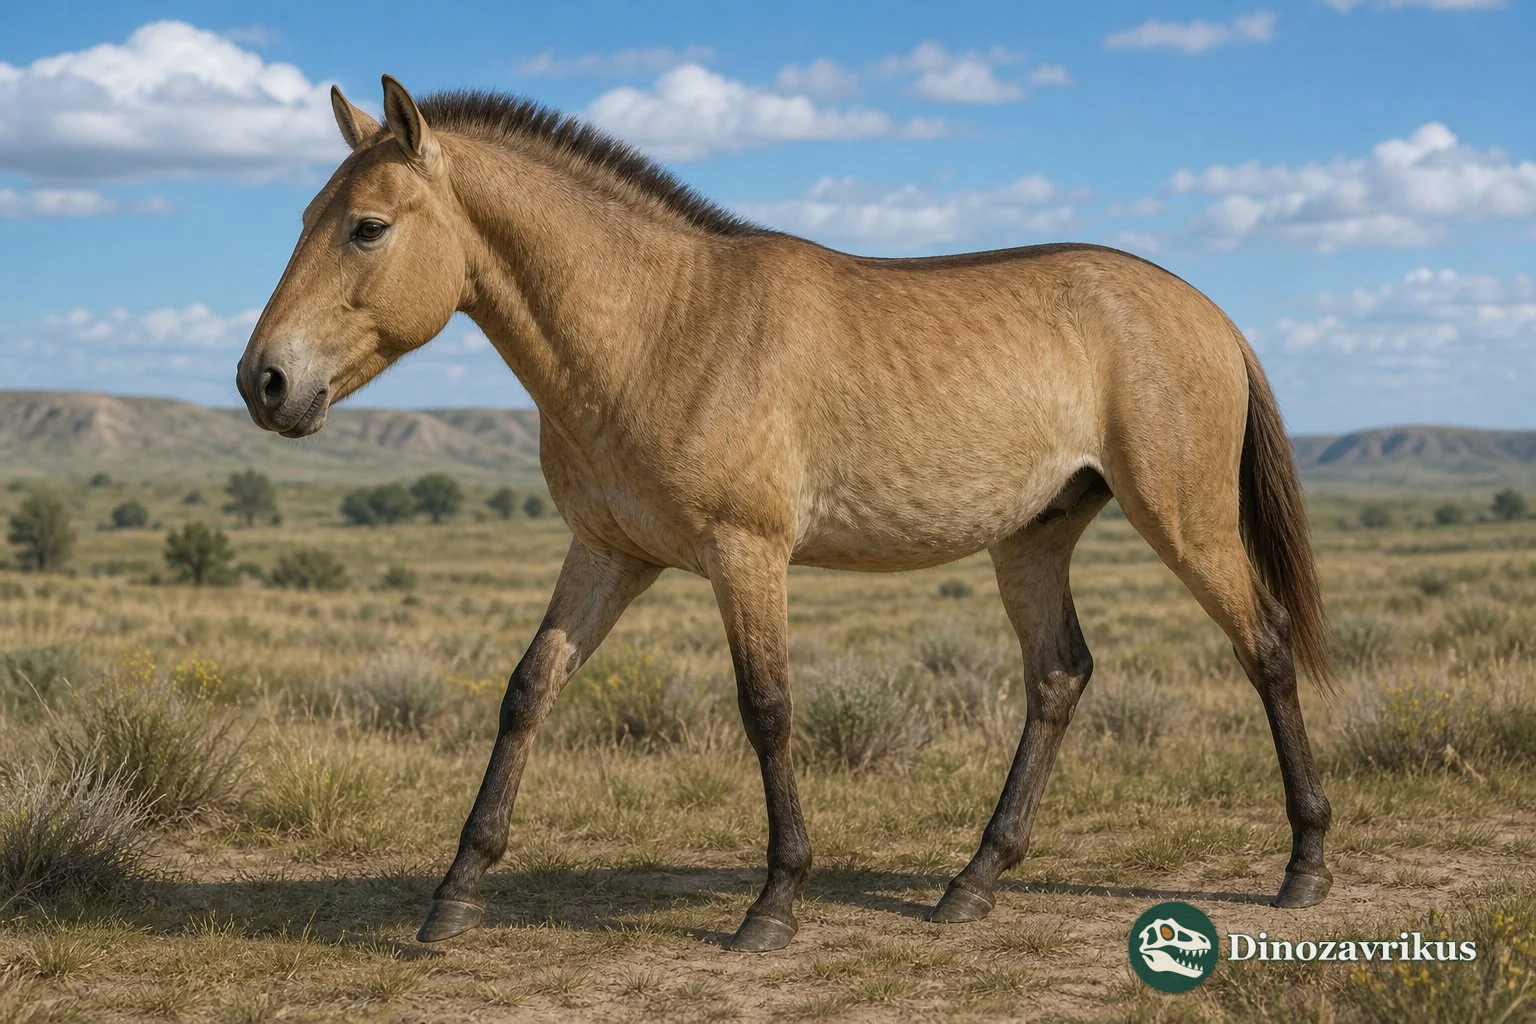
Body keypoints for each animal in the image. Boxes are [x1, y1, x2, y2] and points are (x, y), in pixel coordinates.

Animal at [236, 76, 1336, 953]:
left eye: (367, 226)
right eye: (302, 216)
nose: (264, 382)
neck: (659, 324)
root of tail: (1210, 314)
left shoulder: (747, 555)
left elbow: (766, 709)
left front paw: (774, 903)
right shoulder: (607, 554)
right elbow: (528, 690)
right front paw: (455, 893)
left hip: (1184, 521)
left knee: (1266, 645)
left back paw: (1306, 863)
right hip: (1034, 537)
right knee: (1059, 677)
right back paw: (971, 883)